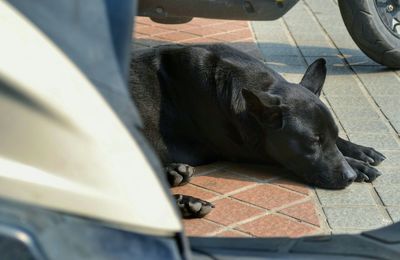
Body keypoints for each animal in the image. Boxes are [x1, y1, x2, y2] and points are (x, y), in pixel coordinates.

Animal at [130, 44, 386, 217]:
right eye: (313, 142)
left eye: (332, 135)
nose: (349, 177)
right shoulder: (250, 150)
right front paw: (358, 166)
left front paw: (361, 152)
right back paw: (187, 202)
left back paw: (176, 175)